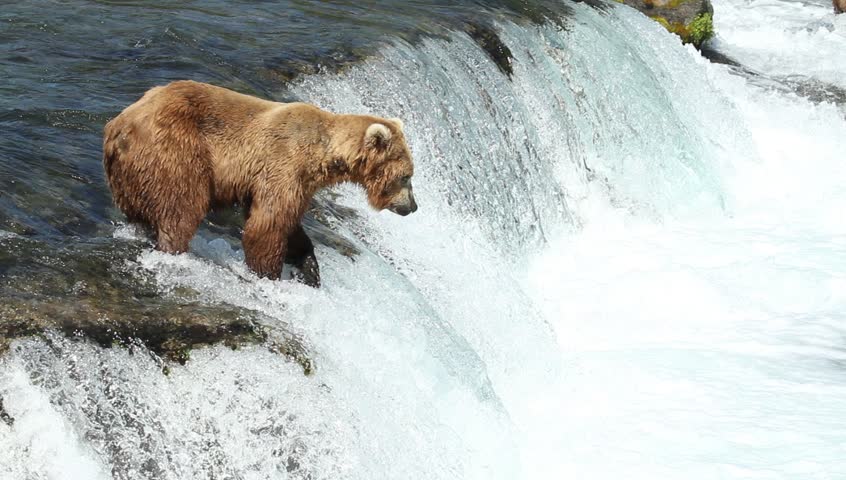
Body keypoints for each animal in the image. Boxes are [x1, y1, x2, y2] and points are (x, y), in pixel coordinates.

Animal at [103, 80, 417, 287]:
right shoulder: (283, 165)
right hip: (175, 148)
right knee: (183, 206)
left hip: (129, 174)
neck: (323, 153)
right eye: (407, 176)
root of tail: (119, 125)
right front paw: (269, 274)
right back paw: (174, 249)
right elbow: (267, 225)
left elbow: (290, 226)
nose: (412, 207)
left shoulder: (298, 183)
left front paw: (309, 268)